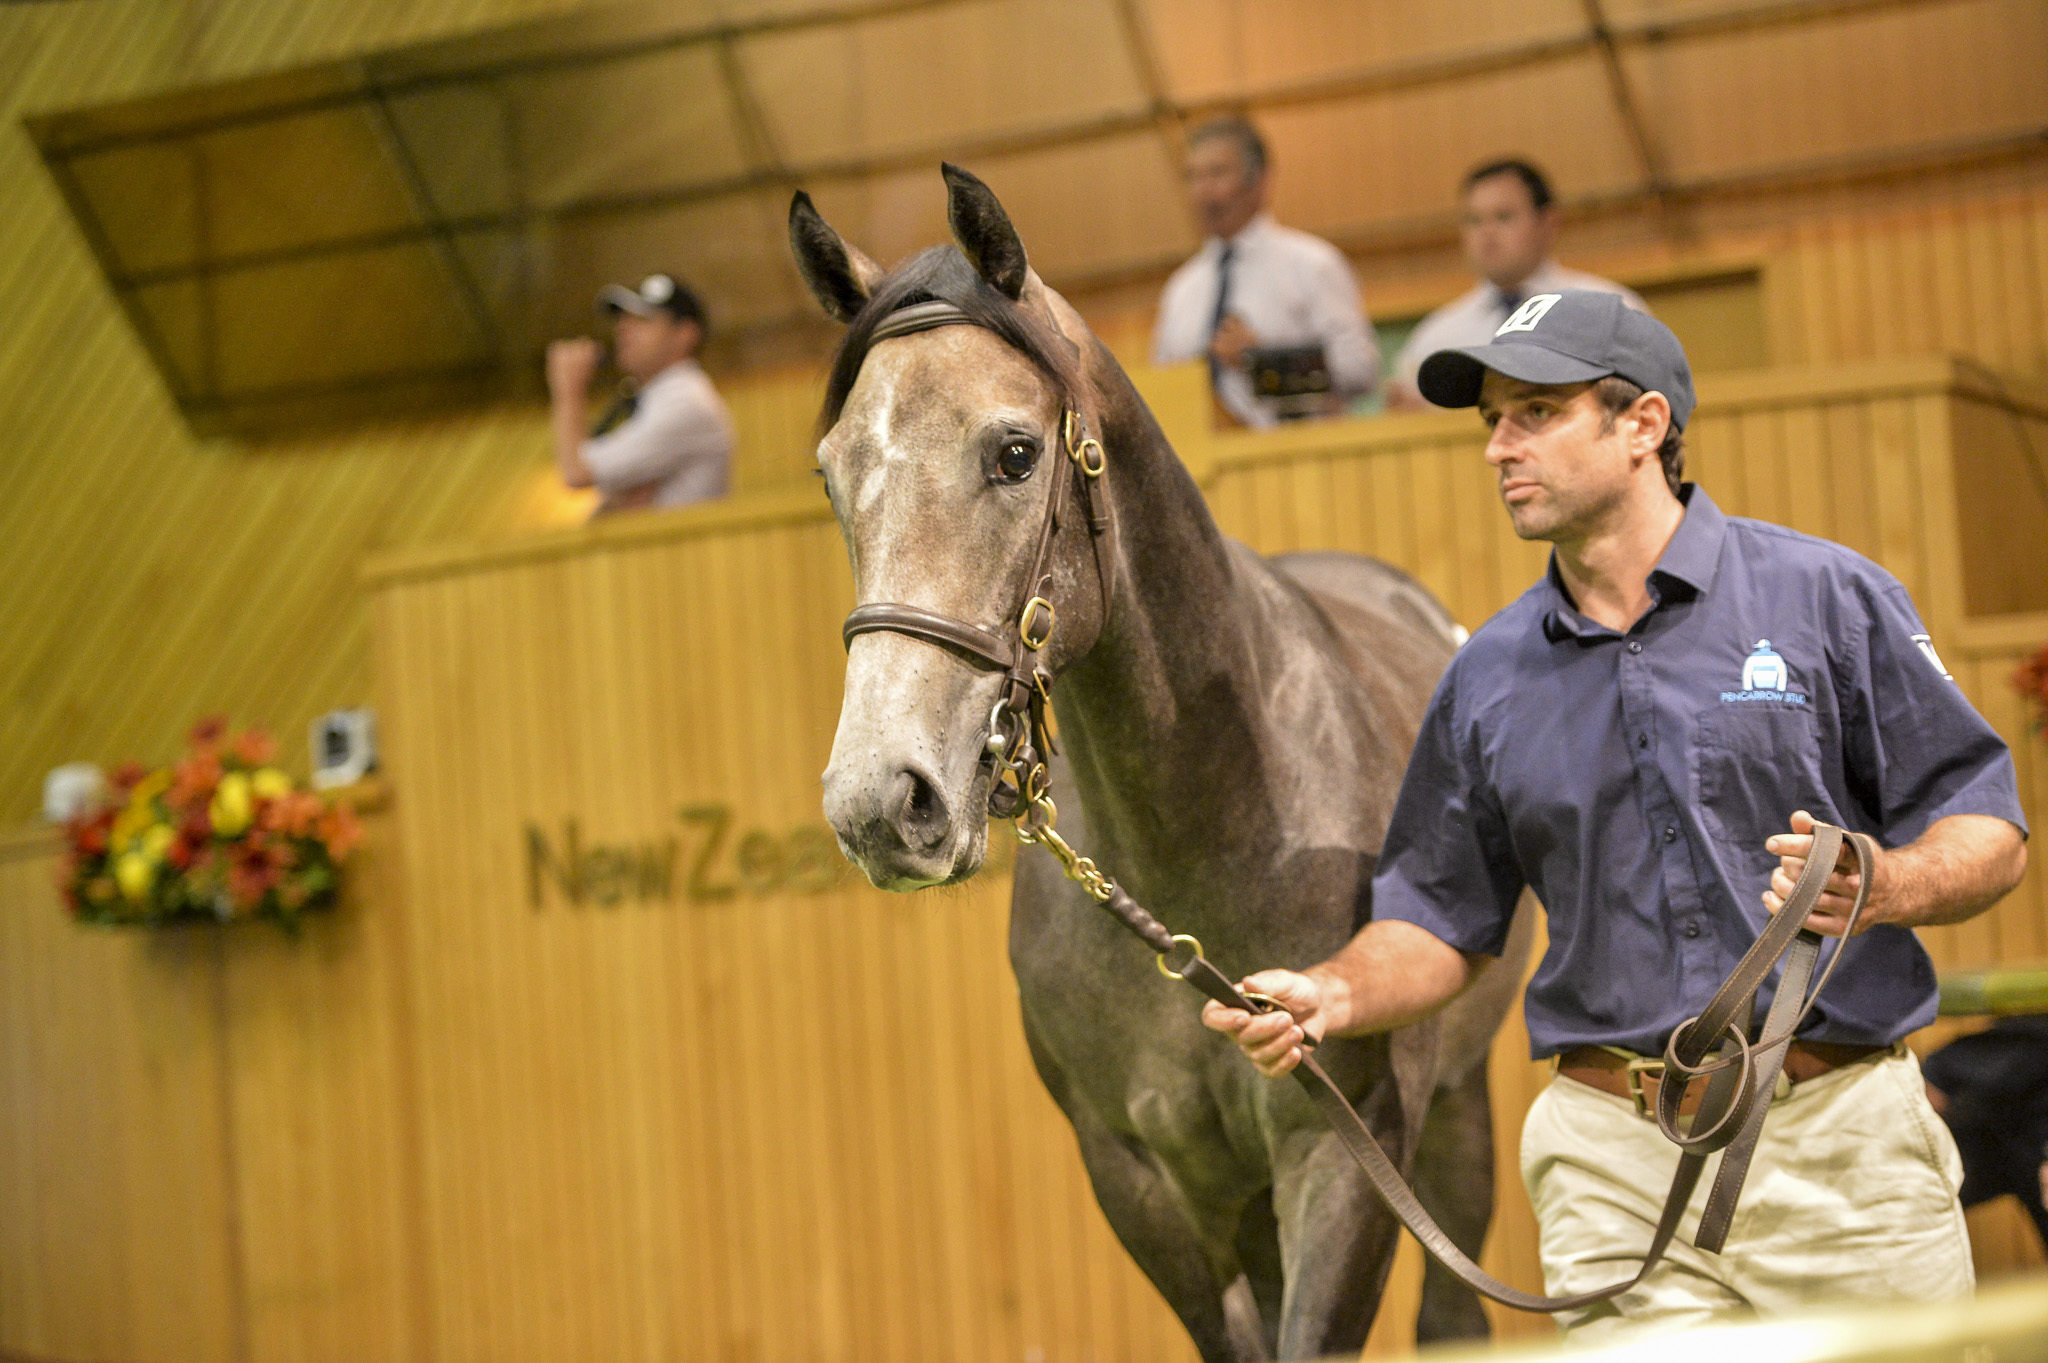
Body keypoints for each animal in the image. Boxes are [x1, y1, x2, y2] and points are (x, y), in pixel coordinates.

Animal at [790, 169, 1531, 1358]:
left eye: (1014, 452)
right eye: (830, 475)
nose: (879, 800)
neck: (1211, 825)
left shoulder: (1345, 1158)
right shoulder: (1141, 1182)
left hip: (1453, 1121)